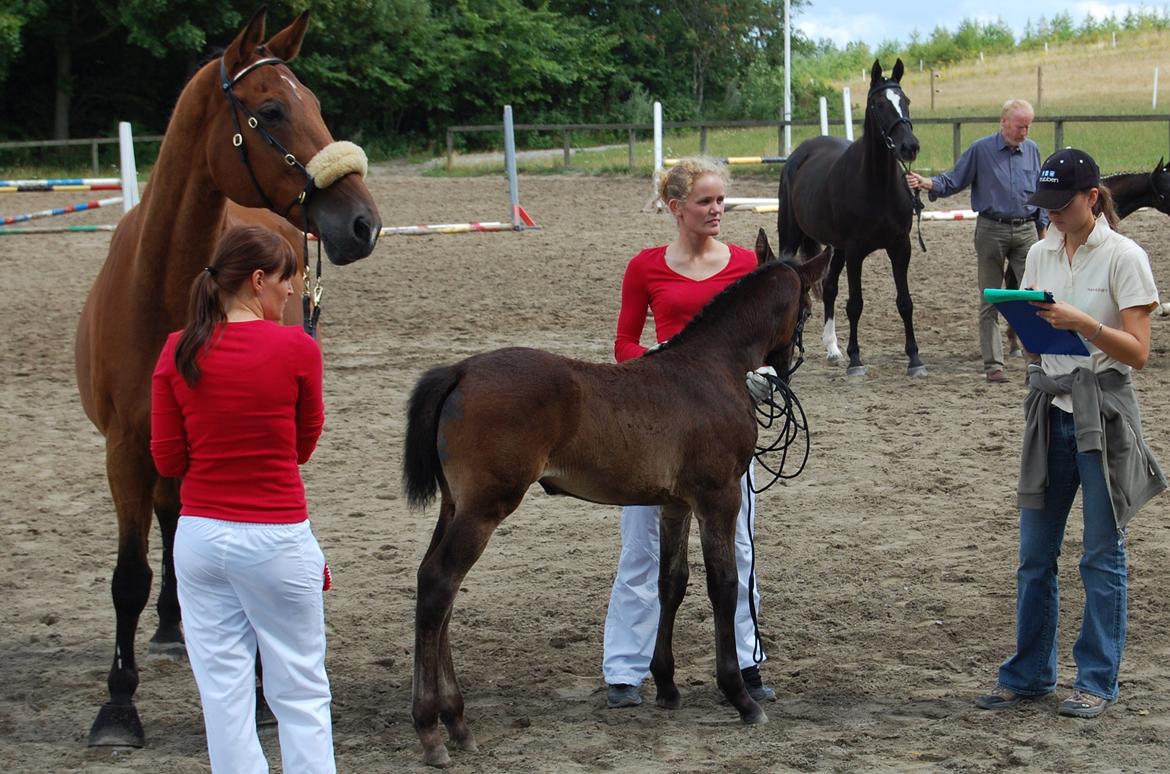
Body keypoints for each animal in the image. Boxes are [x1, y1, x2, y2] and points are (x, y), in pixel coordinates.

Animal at [74, 9, 383, 748]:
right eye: (271, 109)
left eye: (318, 105)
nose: (363, 223)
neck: (162, 289)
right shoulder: (124, 449)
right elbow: (128, 576)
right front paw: (118, 706)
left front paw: (266, 695)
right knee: (172, 517)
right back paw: (170, 626)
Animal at [402, 231, 833, 771]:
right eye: (809, 307)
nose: (783, 370)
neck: (714, 367)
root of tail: (460, 370)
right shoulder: (718, 496)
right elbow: (723, 584)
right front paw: (739, 697)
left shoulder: (676, 503)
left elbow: (672, 582)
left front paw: (667, 686)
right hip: (485, 508)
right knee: (440, 584)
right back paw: (433, 729)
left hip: (454, 506)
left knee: (435, 586)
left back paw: (454, 720)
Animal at [776, 59, 921, 376]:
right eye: (879, 104)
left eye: (905, 100)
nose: (910, 147)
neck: (877, 185)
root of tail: (801, 153)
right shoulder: (856, 252)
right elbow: (855, 304)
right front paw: (856, 360)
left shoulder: (900, 247)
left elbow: (905, 302)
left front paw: (915, 358)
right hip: (792, 236)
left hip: (836, 248)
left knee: (829, 288)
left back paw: (833, 349)